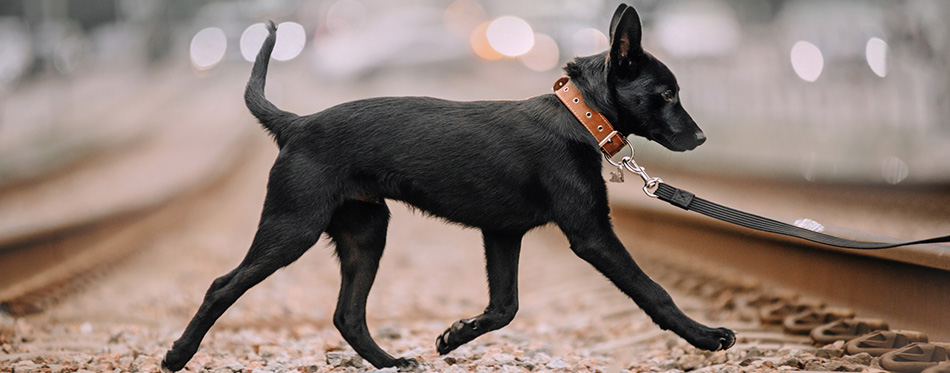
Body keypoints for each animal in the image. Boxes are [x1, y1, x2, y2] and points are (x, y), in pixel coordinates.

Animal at [162, 5, 736, 370]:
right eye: (668, 93)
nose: (702, 138)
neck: (578, 115)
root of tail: (295, 123)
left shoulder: (502, 233)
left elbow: (504, 308)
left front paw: (453, 337)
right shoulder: (591, 234)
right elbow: (652, 290)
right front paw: (707, 337)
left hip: (365, 231)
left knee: (348, 313)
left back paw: (391, 362)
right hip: (293, 226)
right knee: (223, 285)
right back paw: (177, 355)